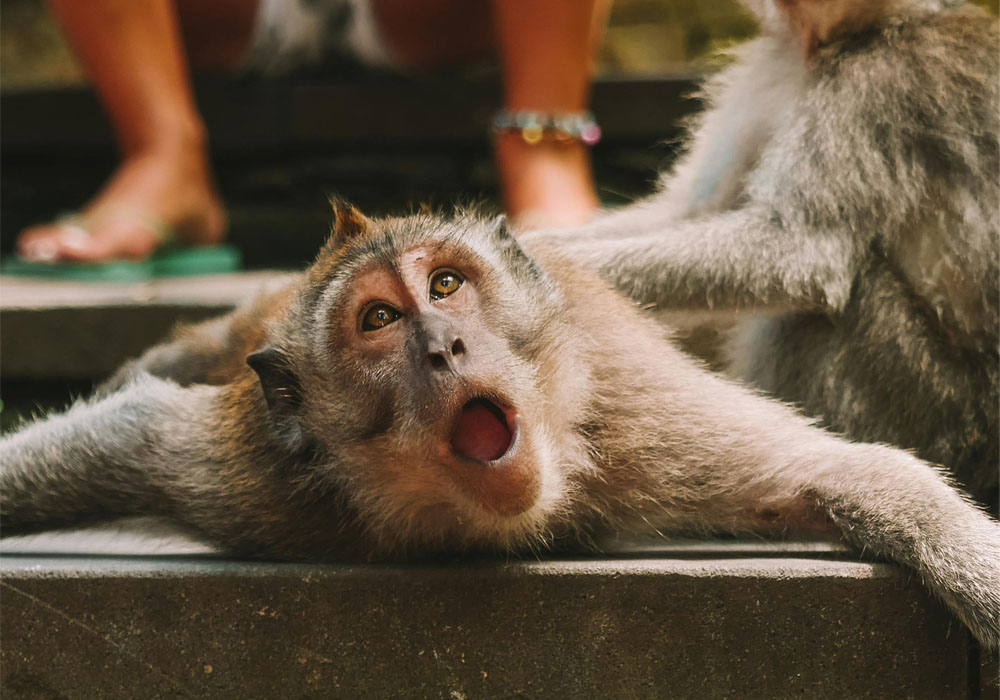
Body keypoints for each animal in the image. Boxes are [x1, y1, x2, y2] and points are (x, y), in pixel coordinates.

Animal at [2, 205, 998, 646]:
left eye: (445, 285)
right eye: (378, 320)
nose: (444, 344)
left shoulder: (629, 417)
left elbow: (847, 470)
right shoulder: (268, 482)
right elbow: (125, 435)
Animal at [526, 0, 999, 508]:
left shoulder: (875, 89)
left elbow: (798, 251)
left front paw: (529, 259)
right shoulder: (771, 67)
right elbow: (692, 209)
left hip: (941, 407)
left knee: (818, 315)